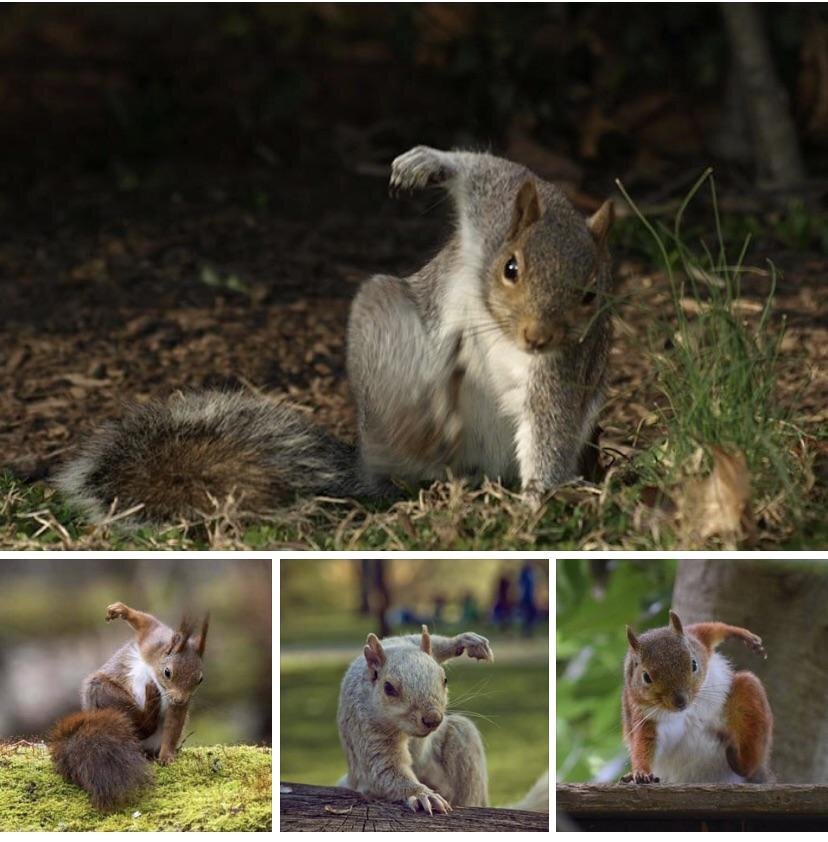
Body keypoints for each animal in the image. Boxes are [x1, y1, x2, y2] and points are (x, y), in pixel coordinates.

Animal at [48, 601, 209, 811]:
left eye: (200, 679)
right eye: (168, 672)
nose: (180, 699)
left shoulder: (177, 705)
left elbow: (173, 725)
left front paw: (167, 756)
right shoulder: (152, 639)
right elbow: (145, 622)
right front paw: (120, 610)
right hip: (103, 692)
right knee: (140, 724)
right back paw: (150, 700)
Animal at [55, 145, 614, 525]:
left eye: (592, 294)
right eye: (510, 267)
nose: (538, 337)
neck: (499, 324)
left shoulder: (563, 368)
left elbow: (551, 425)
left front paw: (538, 500)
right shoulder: (494, 210)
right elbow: (484, 169)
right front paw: (425, 163)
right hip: (381, 323)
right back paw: (421, 431)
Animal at [622, 610, 773, 785]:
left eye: (694, 664)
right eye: (646, 677)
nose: (680, 701)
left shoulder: (697, 639)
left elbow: (713, 629)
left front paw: (745, 635)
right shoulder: (644, 717)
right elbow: (643, 743)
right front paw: (641, 772)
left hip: (748, 695)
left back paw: (741, 761)